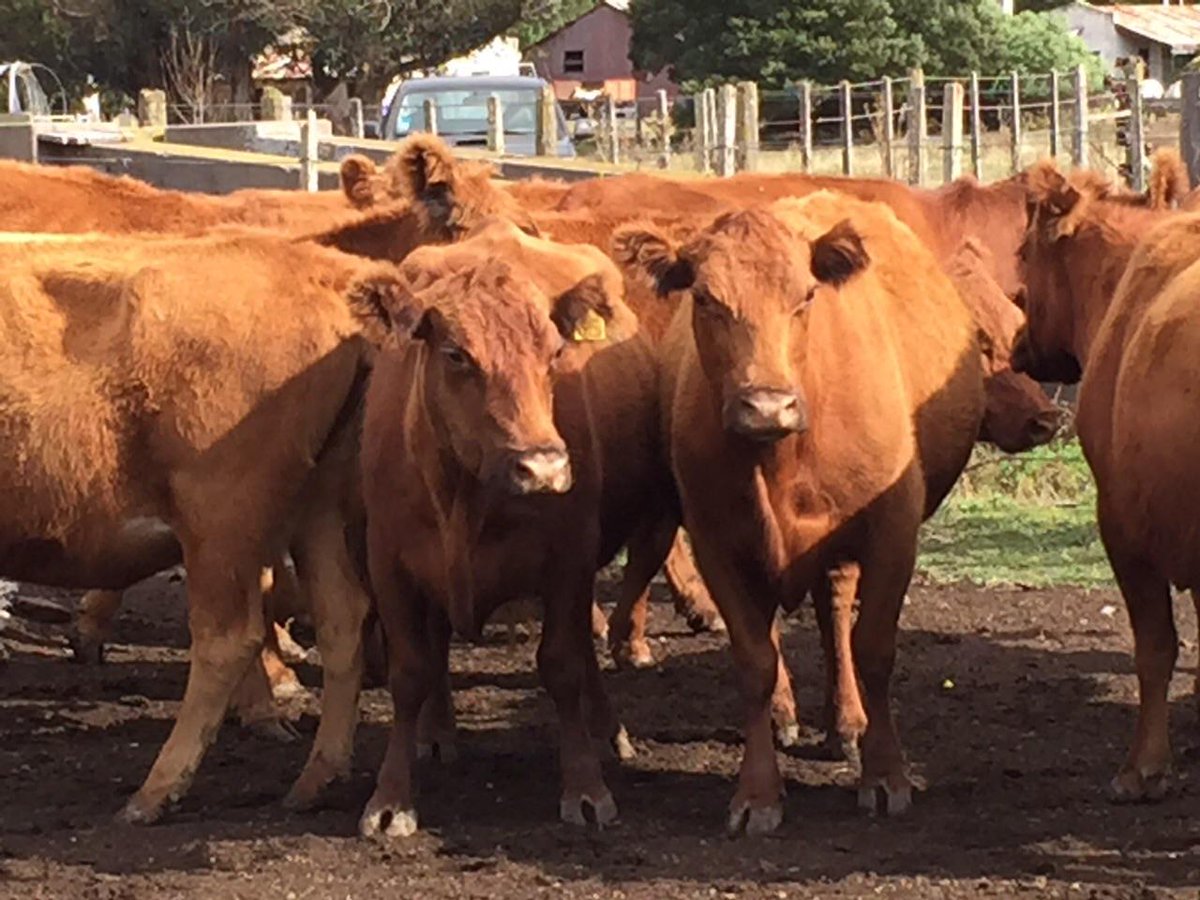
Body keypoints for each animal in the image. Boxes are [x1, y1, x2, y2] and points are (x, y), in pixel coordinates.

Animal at [355, 222, 666, 838]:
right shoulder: (390, 562)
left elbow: (563, 663)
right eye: (456, 354)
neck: (463, 494)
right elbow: (411, 670)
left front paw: (586, 787)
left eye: (554, 352)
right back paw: (437, 735)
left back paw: (606, 731)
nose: (542, 466)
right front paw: (391, 798)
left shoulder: (569, 557)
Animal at [615, 191, 985, 831]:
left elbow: (873, 647)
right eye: (705, 298)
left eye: (806, 297)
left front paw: (886, 776)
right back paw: (792, 716)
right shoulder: (718, 540)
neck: (779, 459)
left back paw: (848, 723)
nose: (767, 405)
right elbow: (755, 661)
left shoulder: (892, 531)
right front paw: (757, 793)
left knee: (836, 614)